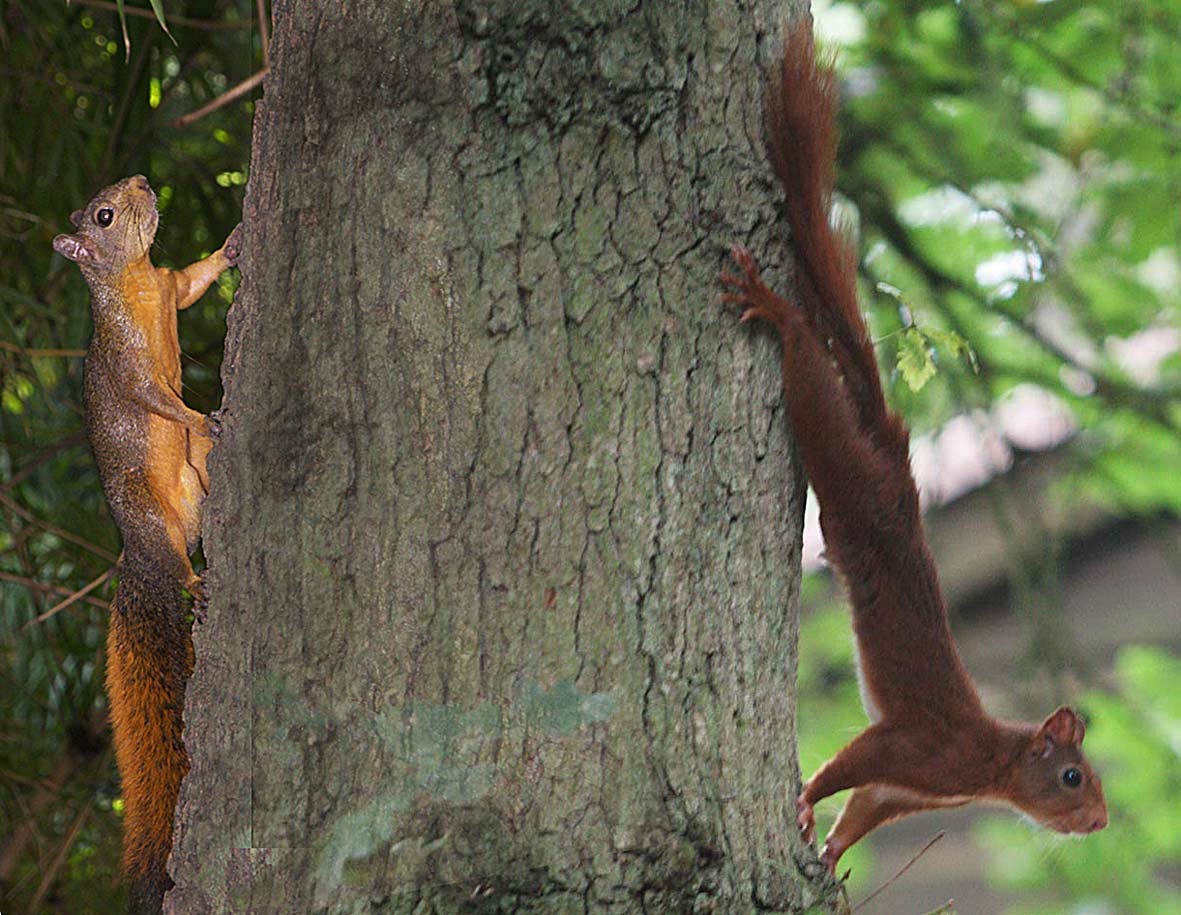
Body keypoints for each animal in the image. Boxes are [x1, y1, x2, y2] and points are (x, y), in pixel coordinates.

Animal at [53, 175, 240, 913]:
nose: (140, 182)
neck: (133, 279)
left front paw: (232, 247)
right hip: (149, 517)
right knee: (179, 563)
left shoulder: (170, 288)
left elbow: (192, 283)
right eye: (104, 216)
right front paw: (199, 412)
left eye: (116, 195)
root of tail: (139, 559)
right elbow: (154, 399)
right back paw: (195, 583)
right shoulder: (125, 364)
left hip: (192, 481)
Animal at [721, 23, 1107, 874]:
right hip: (835, 453)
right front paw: (802, 800)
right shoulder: (914, 746)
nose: (1099, 822)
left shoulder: (902, 791)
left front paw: (830, 863)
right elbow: (845, 764)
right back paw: (774, 309)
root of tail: (894, 466)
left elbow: (860, 809)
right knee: (807, 370)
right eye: (1071, 775)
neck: (987, 764)